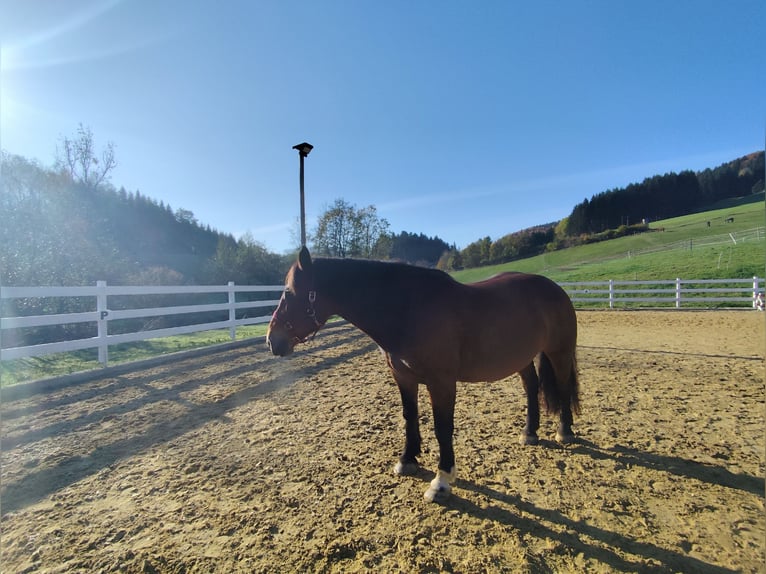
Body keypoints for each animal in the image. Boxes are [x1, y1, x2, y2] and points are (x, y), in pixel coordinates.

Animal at [268, 248, 580, 504]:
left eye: (289, 292)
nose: (272, 341)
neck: (409, 309)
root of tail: (554, 288)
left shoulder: (441, 382)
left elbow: (442, 428)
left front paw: (441, 481)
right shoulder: (403, 377)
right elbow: (410, 417)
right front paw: (407, 459)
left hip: (559, 351)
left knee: (563, 387)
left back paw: (564, 431)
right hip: (522, 357)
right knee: (531, 387)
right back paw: (530, 432)